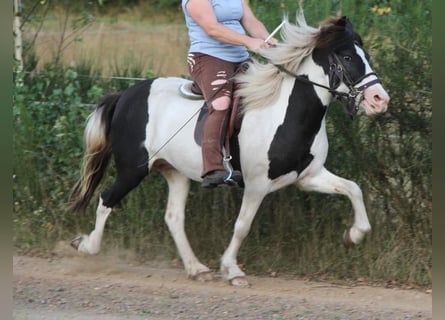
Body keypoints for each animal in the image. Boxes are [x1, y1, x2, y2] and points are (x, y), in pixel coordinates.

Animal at [67, 13, 388, 288]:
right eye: (347, 57)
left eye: (366, 56)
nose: (379, 100)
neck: (284, 113)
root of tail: (125, 96)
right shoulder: (257, 185)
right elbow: (242, 225)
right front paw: (232, 270)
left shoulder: (308, 177)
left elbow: (353, 189)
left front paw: (353, 236)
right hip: (133, 169)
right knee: (106, 199)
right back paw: (86, 246)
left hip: (175, 172)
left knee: (173, 218)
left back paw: (196, 269)